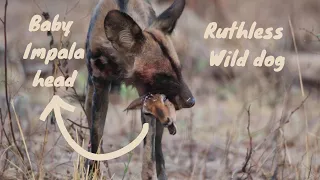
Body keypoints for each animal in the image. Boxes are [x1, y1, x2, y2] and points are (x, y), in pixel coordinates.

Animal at [85, 0, 195, 176]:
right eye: (164, 76)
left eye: (179, 70)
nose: (191, 101)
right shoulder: (100, 89)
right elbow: (96, 140)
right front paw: (92, 173)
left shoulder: (149, 99)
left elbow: (149, 157)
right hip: (90, 100)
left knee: (158, 153)